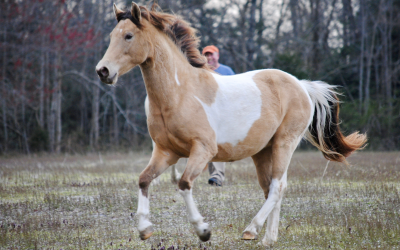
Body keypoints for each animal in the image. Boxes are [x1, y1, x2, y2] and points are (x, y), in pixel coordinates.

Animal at [95, 2, 368, 248]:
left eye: (128, 36)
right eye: (111, 36)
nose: (103, 71)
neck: (180, 93)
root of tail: (302, 85)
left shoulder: (203, 150)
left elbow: (184, 184)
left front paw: (203, 230)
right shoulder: (166, 152)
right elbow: (143, 180)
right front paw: (144, 229)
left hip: (285, 143)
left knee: (277, 187)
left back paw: (251, 230)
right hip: (263, 151)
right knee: (272, 188)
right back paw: (268, 239)